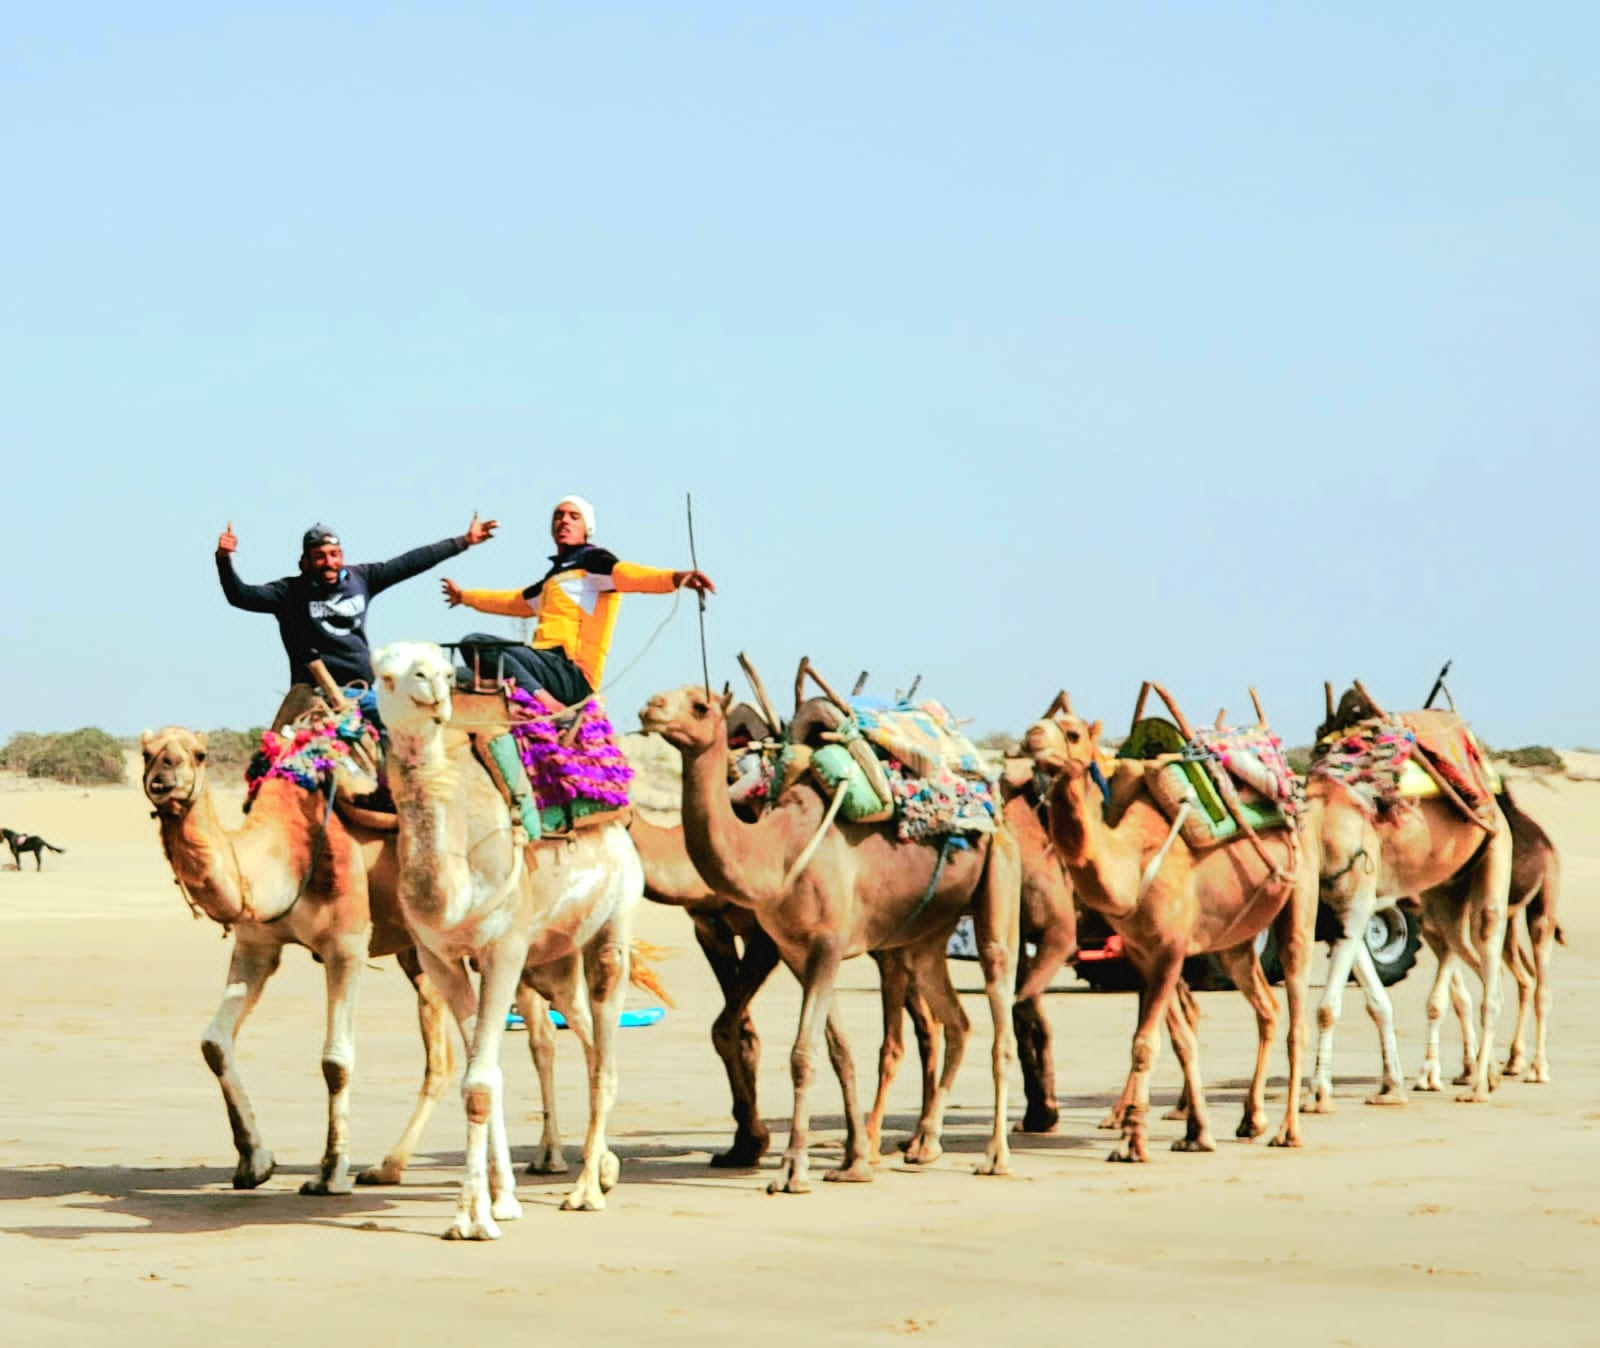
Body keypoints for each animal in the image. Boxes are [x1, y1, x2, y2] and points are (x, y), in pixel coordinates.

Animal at [372, 637, 643, 1235]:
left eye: (441, 667)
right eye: (384, 675)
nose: (432, 686)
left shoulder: (505, 948)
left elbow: (478, 1082)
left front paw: (471, 1219)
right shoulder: (440, 957)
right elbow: (487, 1076)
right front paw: (501, 1202)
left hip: (613, 922)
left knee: (606, 1053)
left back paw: (586, 1190)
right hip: (552, 961)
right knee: (587, 1037)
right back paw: (605, 1167)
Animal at [640, 682, 1024, 1184]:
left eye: (700, 706)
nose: (650, 709)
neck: (776, 851)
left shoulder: (825, 944)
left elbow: (802, 1054)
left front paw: (792, 1170)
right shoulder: (796, 952)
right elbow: (837, 1049)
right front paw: (853, 1161)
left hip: (999, 883)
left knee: (999, 1017)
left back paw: (995, 1157)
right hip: (926, 936)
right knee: (956, 1021)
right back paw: (924, 1144)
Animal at [1030, 694, 1318, 1152]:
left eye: (1072, 733)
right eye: (1039, 722)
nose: (1032, 737)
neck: (1132, 863)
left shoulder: (1170, 948)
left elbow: (1146, 1042)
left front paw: (1133, 1142)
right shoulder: (1141, 953)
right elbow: (1181, 1039)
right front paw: (1194, 1133)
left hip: (1299, 898)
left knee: (1296, 1017)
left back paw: (1288, 1131)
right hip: (1234, 940)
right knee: (1267, 1008)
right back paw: (1251, 1118)